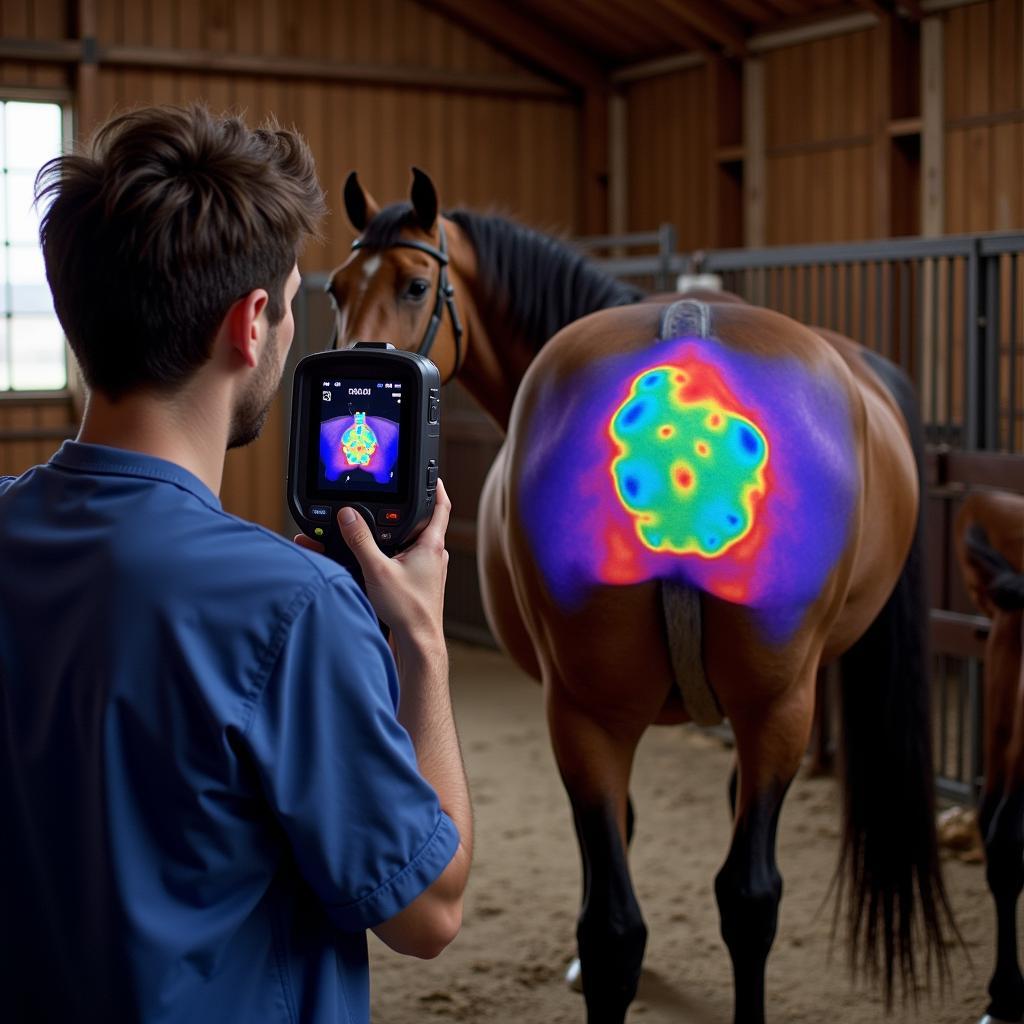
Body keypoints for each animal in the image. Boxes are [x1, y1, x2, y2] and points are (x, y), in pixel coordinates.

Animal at [327, 169, 950, 1024]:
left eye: (415, 285)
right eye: (335, 286)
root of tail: (688, 334)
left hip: (624, 709)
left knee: (641, 921)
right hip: (763, 705)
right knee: (737, 899)